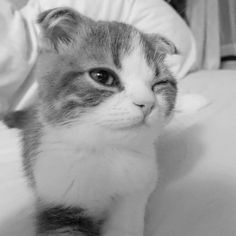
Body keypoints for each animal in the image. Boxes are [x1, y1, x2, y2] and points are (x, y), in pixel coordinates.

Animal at [4, 6, 177, 236]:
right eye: (102, 76)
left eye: (159, 84)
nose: (147, 104)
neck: (108, 153)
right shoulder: (58, 197)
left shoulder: (137, 190)